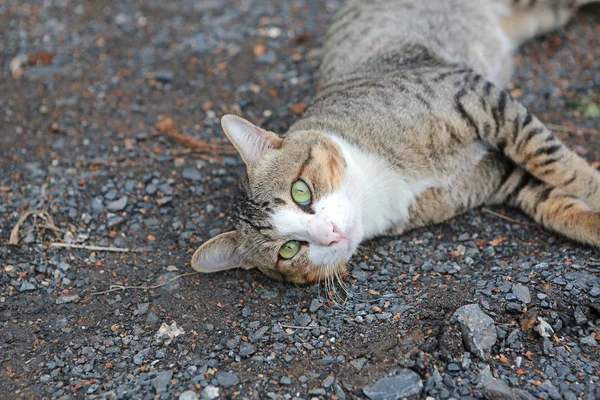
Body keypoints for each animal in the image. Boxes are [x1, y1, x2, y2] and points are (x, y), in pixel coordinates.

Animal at [192, 0, 600, 282]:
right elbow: (554, 202)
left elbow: (557, 163)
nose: (331, 233)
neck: (379, 182)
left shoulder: (477, 98)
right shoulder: (497, 176)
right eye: (290, 249)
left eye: (301, 192)